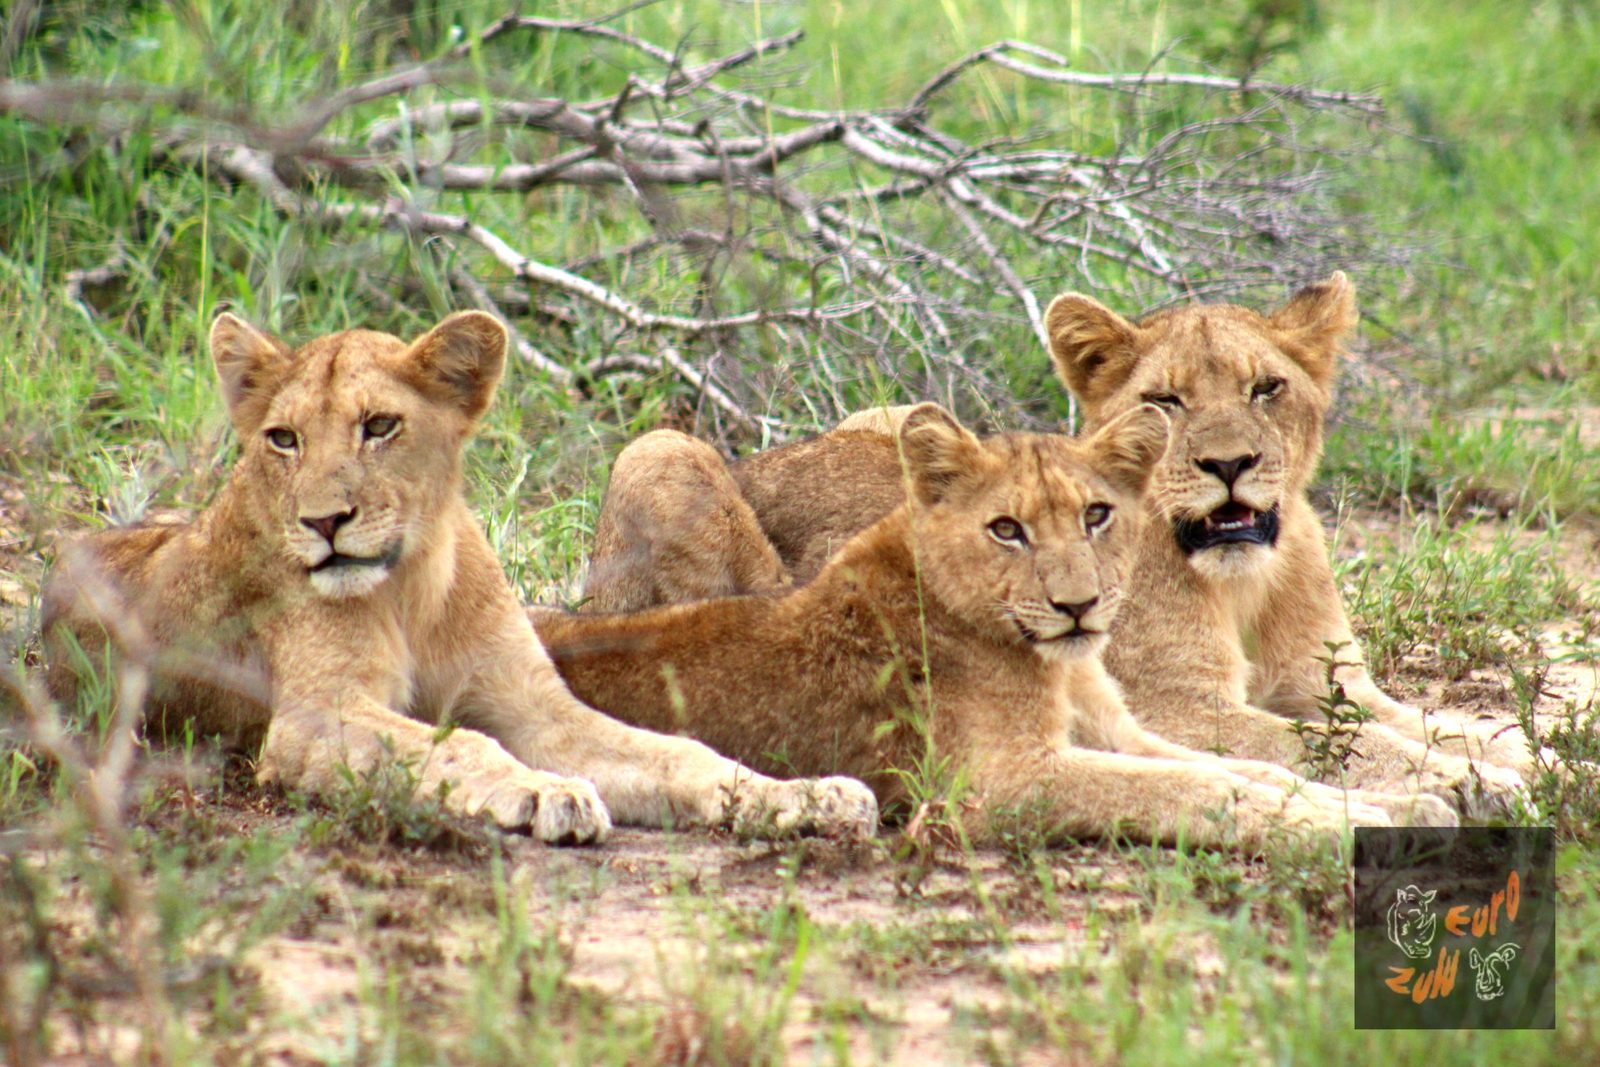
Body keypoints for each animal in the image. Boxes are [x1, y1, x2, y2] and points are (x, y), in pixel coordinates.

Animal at [41, 311, 877, 844]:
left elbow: (680, 751)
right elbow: (459, 743)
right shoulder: (313, 718)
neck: (412, 585)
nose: (323, 522)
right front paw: (547, 791)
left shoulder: (538, 709)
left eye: (379, 426)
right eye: (283, 439)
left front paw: (806, 797)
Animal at [536, 403, 1459, 851]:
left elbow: (1252, 766)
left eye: (1096, 515)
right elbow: (1192, 787)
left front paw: (1399, 803)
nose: (1079, 605)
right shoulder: (998, 784)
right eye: (1006, 529)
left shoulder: (1120, 730)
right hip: (661, 451)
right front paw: (1356, 819)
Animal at [574, 275, 1524, 818]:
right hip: (660, 449)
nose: (1229, 466)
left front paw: (1511, 755)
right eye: (1167, 401)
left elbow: (1425, 723)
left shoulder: (1337, 681)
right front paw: (1473, 787)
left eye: (1267, 388)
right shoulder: (1181, 707)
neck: (1246, 582)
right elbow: (1335, 745)